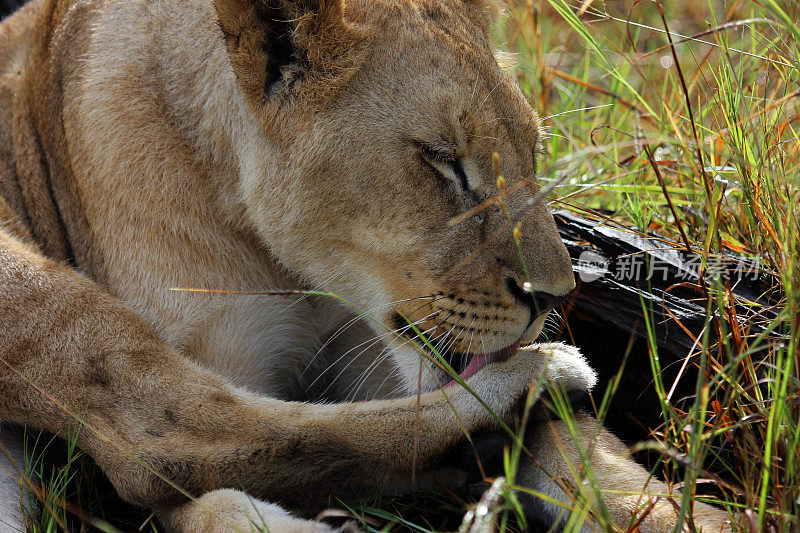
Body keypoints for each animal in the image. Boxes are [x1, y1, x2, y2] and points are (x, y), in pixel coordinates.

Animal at [0, 0, 736, 528]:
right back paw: (539, 380)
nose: (555, 295)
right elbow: (201, 485)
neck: (301, 275)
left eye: (532, 153)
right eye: (443, 161)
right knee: (159, 441)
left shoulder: (379, 355)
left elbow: (597, 463)